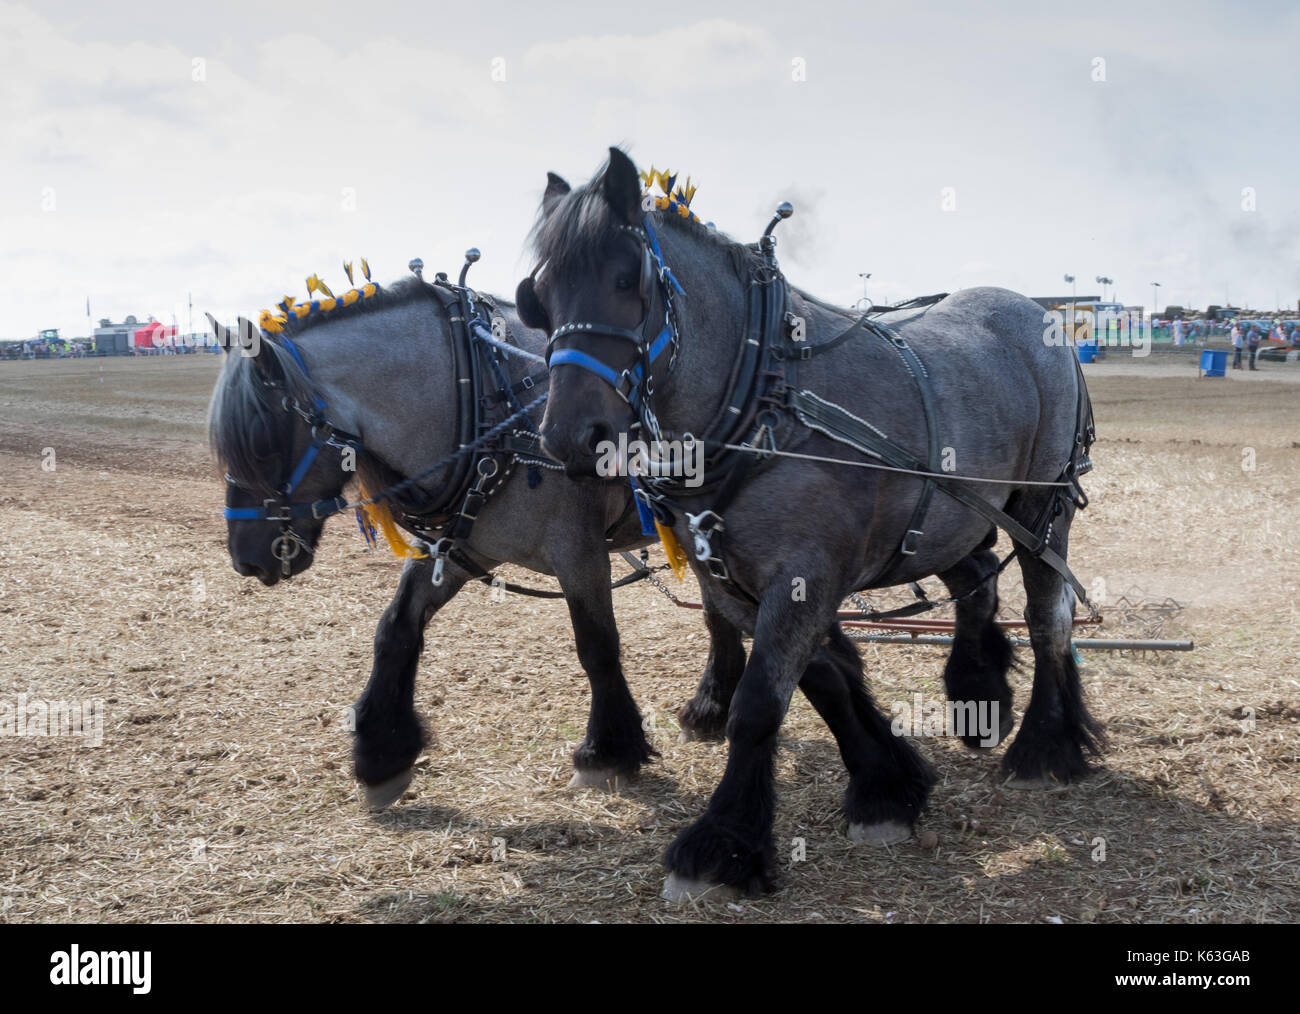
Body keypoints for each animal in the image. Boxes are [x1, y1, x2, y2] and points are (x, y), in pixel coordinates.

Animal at [205, 270, 745, 810]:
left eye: (261, 440)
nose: (246, 559)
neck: (486, 396)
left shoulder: (580, 553)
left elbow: (596, 645)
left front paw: (605, 754)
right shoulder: (457, 547)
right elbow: (395, 629)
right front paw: (382, 756)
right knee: (718, 608)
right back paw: (710, 708)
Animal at [516, 148, 1103, 899]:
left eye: (627, 279)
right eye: (539, 296)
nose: (569, 437)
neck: (762, 399)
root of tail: (1039, 313)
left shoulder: (805, 574)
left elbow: (761, 703)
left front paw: (721, 846)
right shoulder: (734, 578)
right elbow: (822, 677)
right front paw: (887, 784)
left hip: (1040, 505)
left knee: (1048, 614)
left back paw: (1045, 745)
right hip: (956, 512)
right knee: (976, 581)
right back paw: (980, 692)